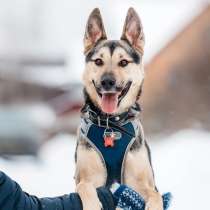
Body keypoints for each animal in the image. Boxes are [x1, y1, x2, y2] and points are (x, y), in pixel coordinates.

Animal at [74, 7, 163, 210]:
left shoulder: (141, 184)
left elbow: (157, 196)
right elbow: (85, 187)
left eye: (123, 63)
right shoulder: (87, 179)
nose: (107, 82)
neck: (111, 124)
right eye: (98, 61)